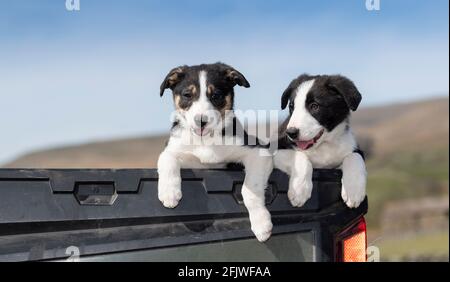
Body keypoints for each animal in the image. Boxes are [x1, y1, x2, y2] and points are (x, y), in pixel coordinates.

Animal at [156, 62, 272, 241]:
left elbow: (250, 188)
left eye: (216, 95)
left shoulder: (258, 152)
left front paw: (261, 223)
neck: (206, 140)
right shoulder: (173, 148)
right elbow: (167, 159)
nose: (201, 121)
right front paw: (169, 193)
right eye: (187, 95)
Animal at [274, 75, 366, 209]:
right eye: (292, 107)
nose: (291, 133)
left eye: (314, 106)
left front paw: (354, 191)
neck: (323, 145)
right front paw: (299, 190)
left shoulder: (352, 148)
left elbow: (354, 156)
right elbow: (300, 156)